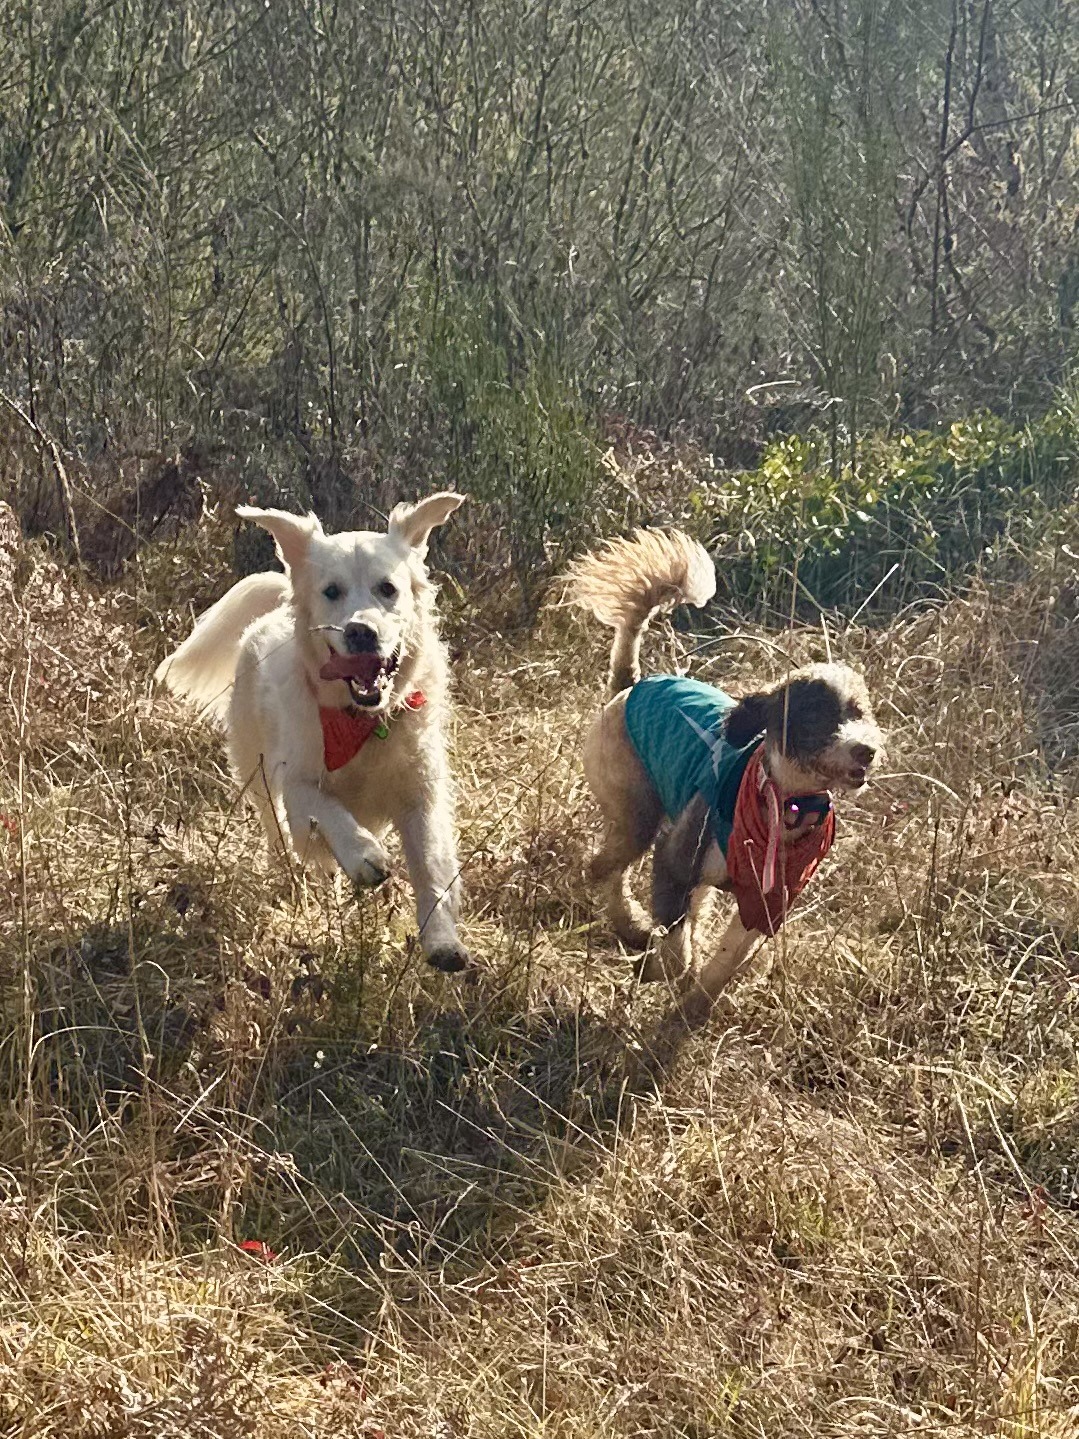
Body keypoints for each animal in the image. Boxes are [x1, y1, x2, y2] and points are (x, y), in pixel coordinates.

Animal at [157, 489, 471, 972]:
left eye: (388, 588)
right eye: (331, 591)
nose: (361, 632)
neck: (361, 722)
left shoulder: (421, 792)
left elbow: (432, 866)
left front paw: (442, 941)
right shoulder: (297, 780)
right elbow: (327, 810)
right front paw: (362, 855)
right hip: (256, 772)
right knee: (279, 833)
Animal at [569, 529, 880, 1024]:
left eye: (860, 712)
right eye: (815, 718)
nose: (866, 749)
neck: (784, 808)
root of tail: (631, 686)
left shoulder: (764, 904)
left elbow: (722, 962)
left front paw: (691, 1011)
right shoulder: (673, 861)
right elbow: (678, 943)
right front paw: (667, 969)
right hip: (637, 815)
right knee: (605, 868)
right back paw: (630, 923)